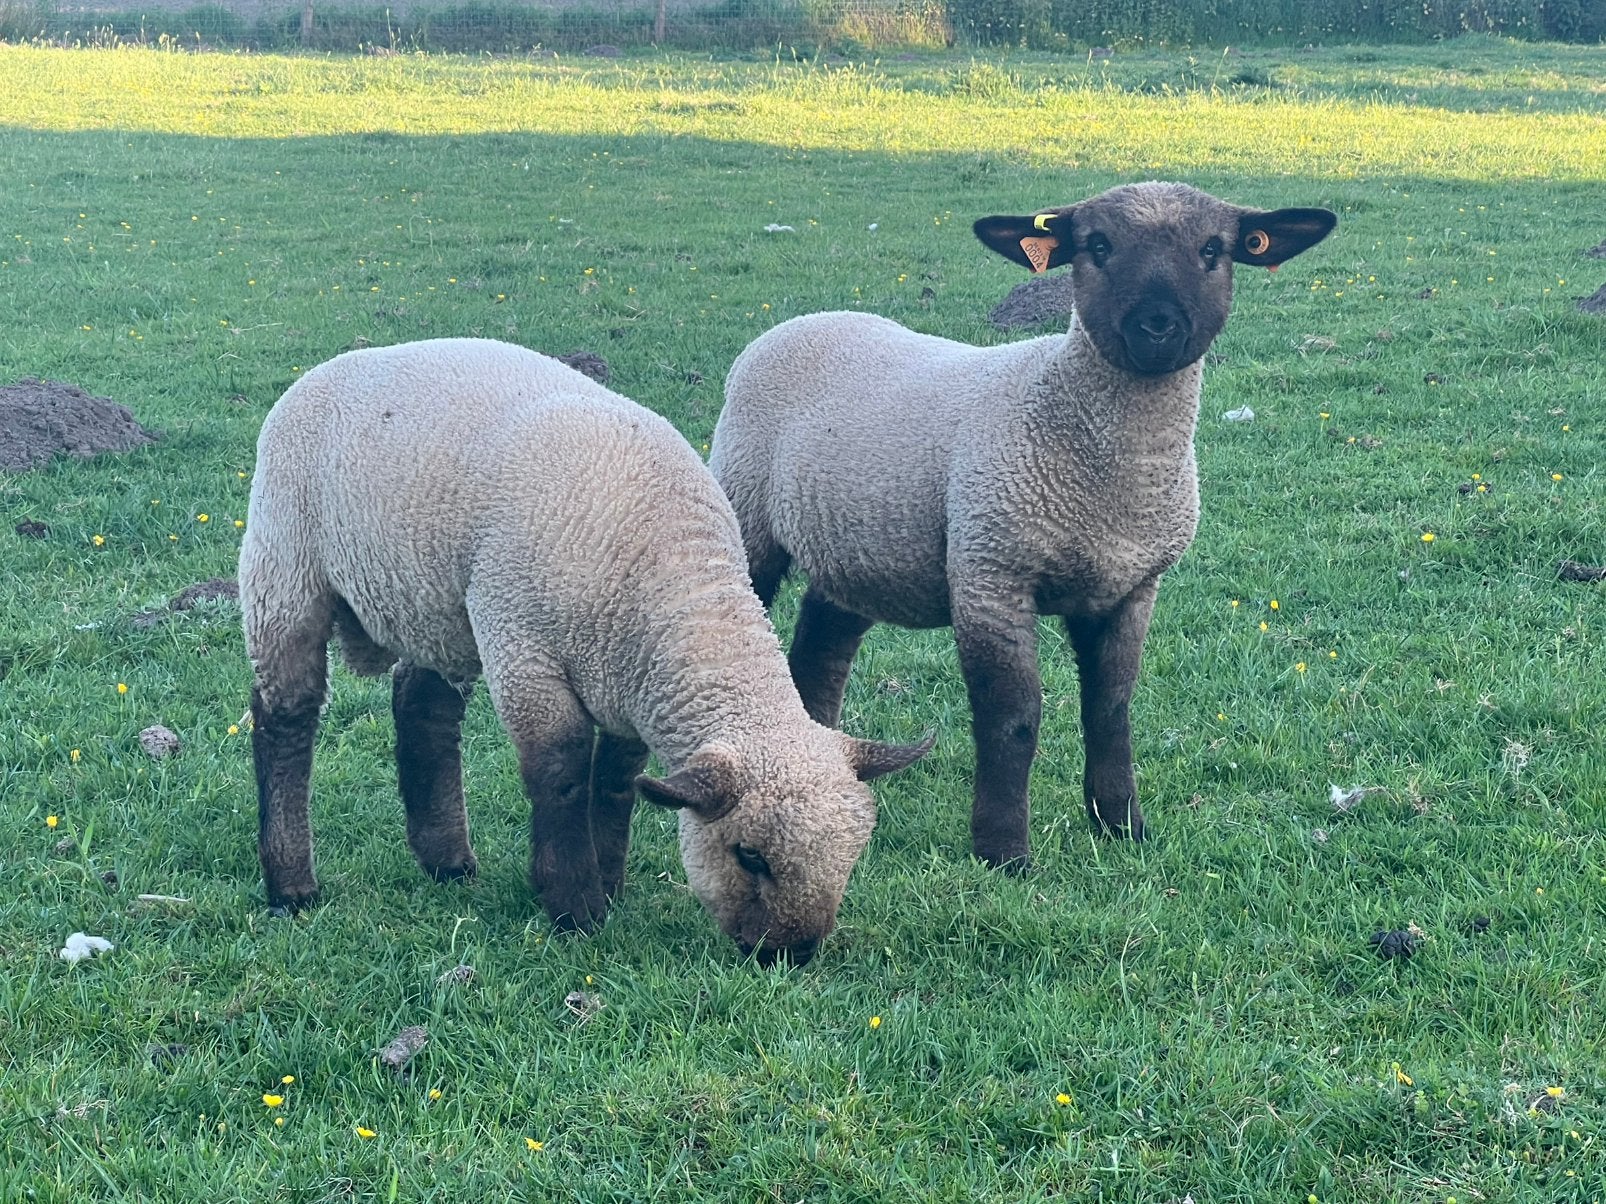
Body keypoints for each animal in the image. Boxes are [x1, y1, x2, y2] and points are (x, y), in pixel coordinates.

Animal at [239, 338, 930, 965]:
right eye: (750, 855)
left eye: (853, 854)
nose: (792, 954)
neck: (666, 573)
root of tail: (335, 365)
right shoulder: (525, 650)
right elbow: (562, 771)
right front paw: (576, 910)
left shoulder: (629, 677)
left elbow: (618, 780)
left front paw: (610, 882)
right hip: (285, 567)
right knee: (285, 717)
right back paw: (292, 886)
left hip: (435, 602)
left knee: (423, 705)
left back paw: (448, 862)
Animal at [709, 182, 1335, 868]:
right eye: (1096, 245)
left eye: (1214, 250)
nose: (1157, 326)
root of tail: (805, 319)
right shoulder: (992, 573)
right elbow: (1011, 719)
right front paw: (1003, 851)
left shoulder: (1131, 587)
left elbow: (1110, 707)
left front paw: (1122, 827)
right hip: (744, 505)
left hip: (858, 545)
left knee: (820, 644)